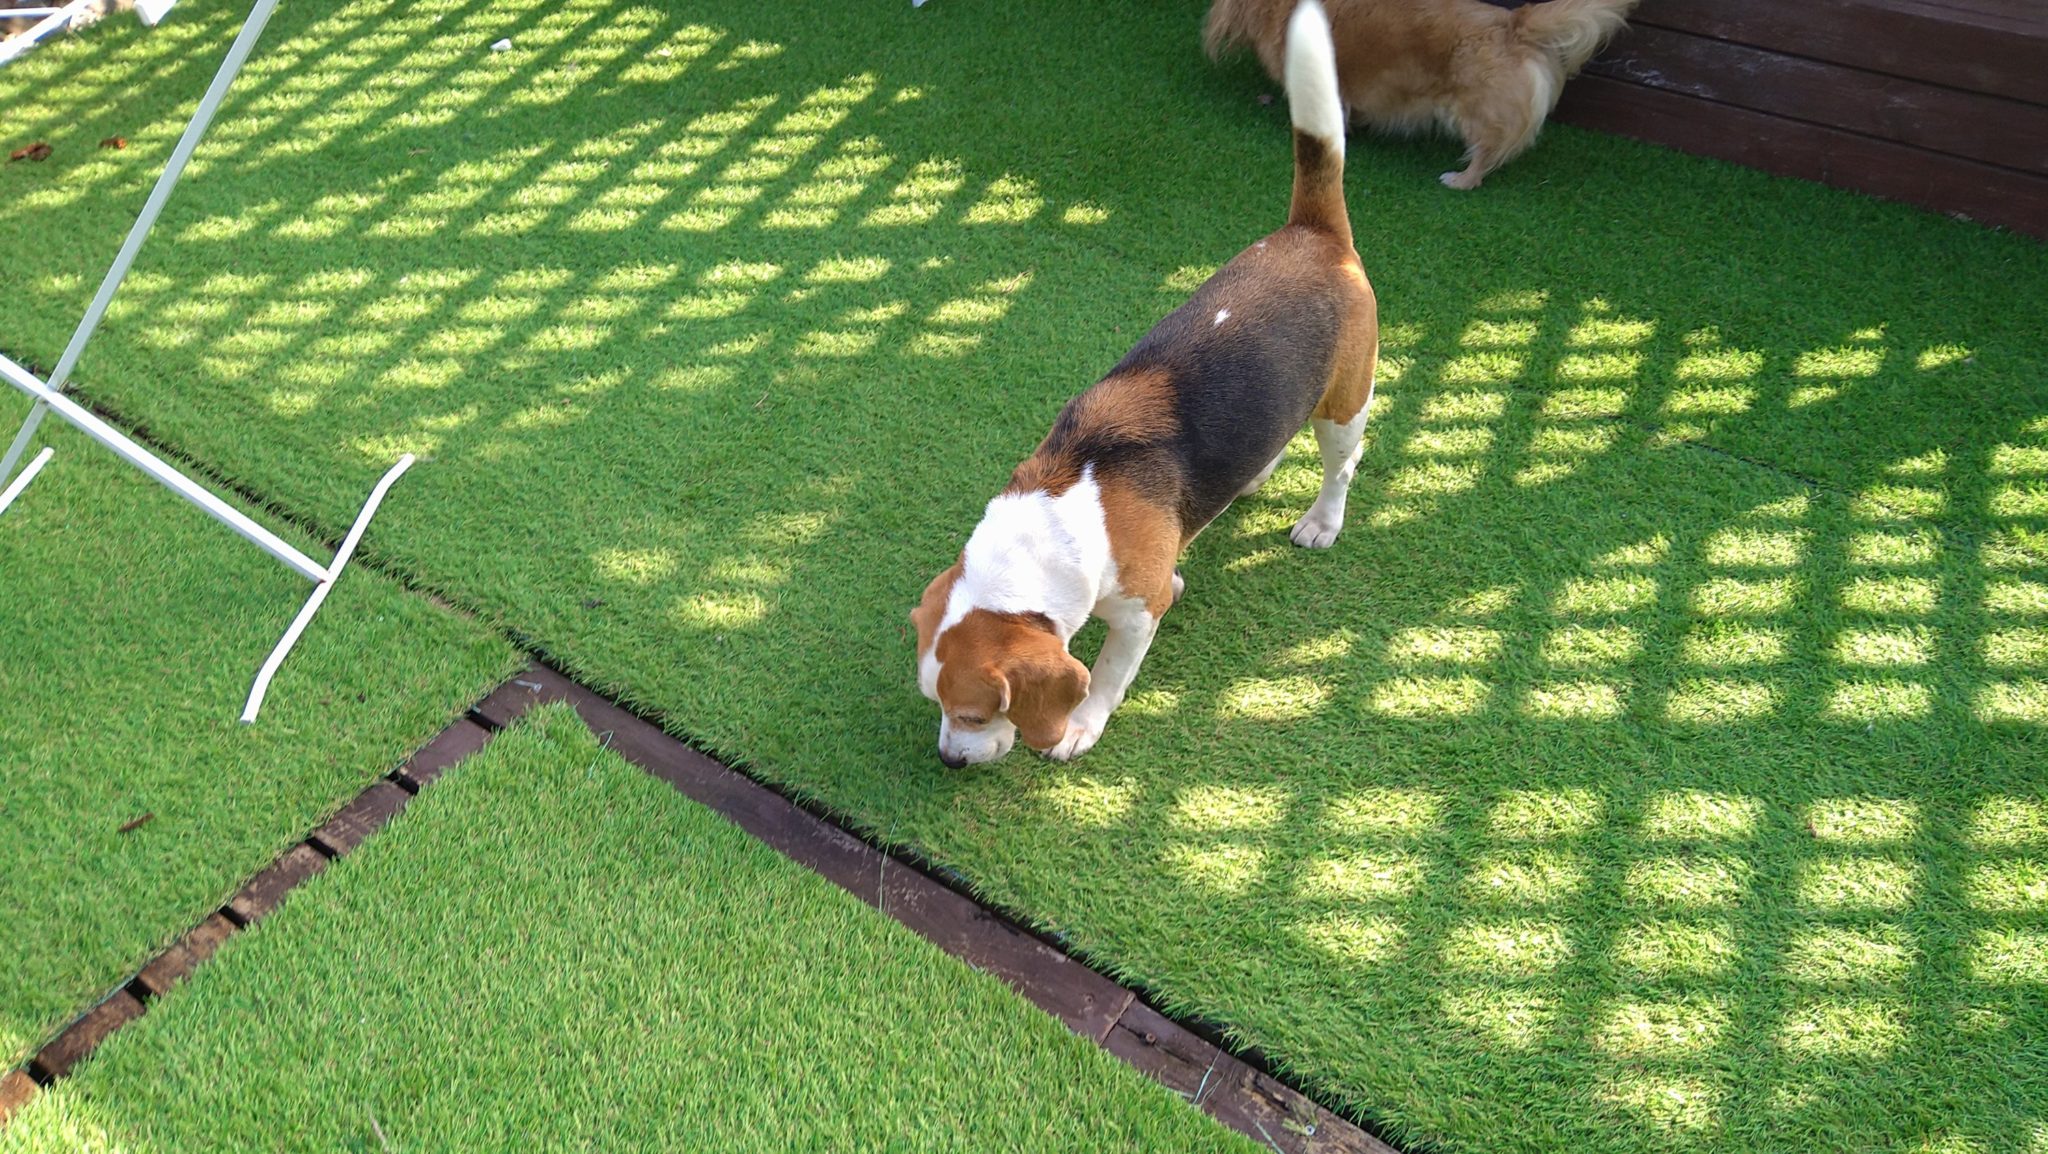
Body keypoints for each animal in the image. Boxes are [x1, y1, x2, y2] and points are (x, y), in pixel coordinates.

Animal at [912, 0, 1375, 767]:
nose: (951, 758)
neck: (1060, 516)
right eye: (935, 704)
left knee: (1342, 465)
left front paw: (1080, 724)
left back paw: (1322, 522)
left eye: (978, 714)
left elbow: (1104, 673)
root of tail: (1314, 235)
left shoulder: (1133, 615)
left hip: (1345, 403)